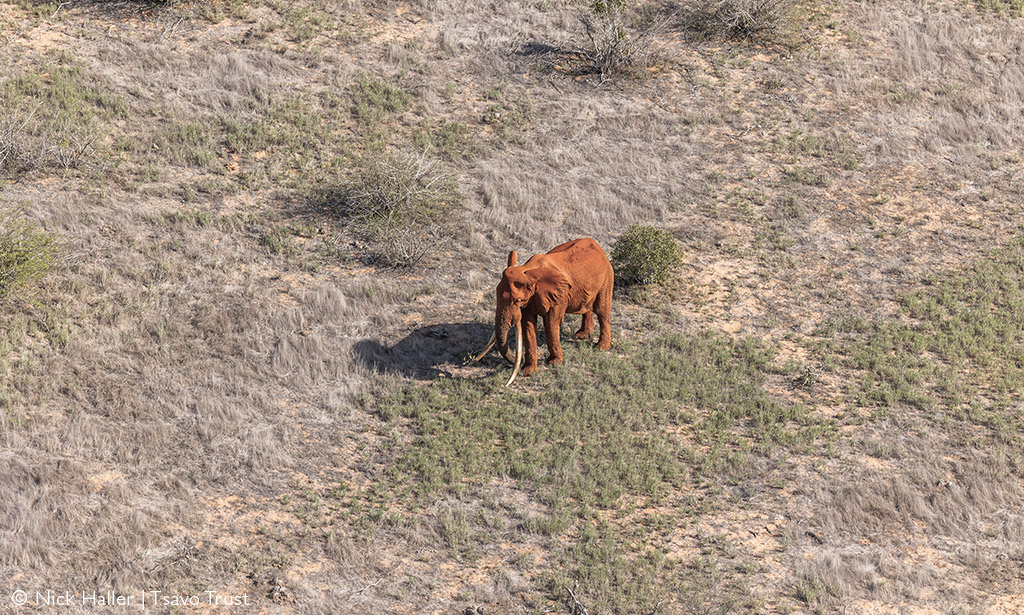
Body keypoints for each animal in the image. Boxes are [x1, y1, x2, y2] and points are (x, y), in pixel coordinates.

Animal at [473, 236, 614, 384]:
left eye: (517, 301)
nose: (516, 362)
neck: (527, 270)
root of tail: (599, 248)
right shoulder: (531, 298)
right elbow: (528, 325)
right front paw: (528, 371)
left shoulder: (559, 295)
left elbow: (551, 323)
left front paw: (553, 363)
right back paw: (581, 335)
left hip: (607, 277)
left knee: (602, 311)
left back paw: (600, 347)